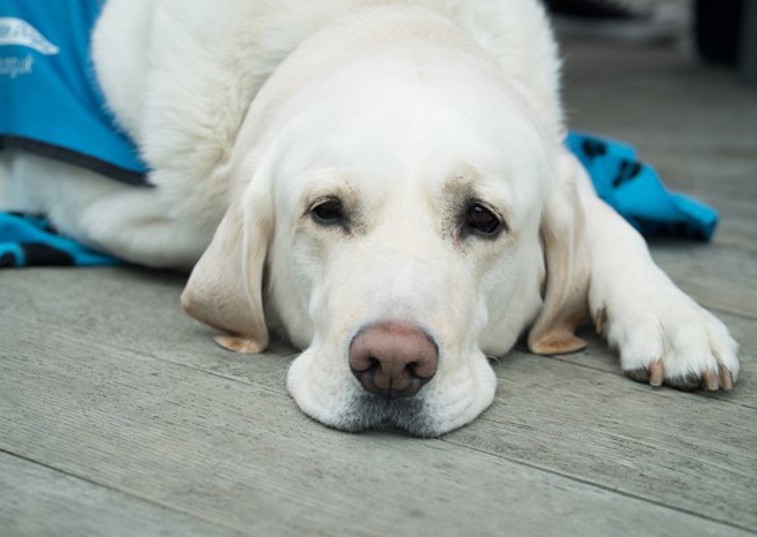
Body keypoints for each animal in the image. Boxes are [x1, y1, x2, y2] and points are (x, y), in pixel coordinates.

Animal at [0, 0, 740, 436]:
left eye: (483, 219)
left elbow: (607, 219)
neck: (375, 15)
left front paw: (672, 318)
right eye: (325, 211)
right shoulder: (96, 197)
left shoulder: (560, 158)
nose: (390, 362)